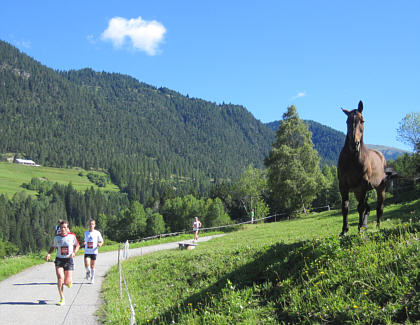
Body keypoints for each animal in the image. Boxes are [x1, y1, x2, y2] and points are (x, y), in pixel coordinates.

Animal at [338, 100, 394, 234]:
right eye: (347, 121)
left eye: (362, 121)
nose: (354, 144)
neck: (352, 159)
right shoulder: (343, 185)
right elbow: (345, 207)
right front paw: (344, 230)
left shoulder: (362, 184)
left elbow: (360, 208)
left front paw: (358, 228)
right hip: (358, 192)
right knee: (367, 208)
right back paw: (364, 226)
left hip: (379, 189)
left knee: (379, 207)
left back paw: (376, 226)